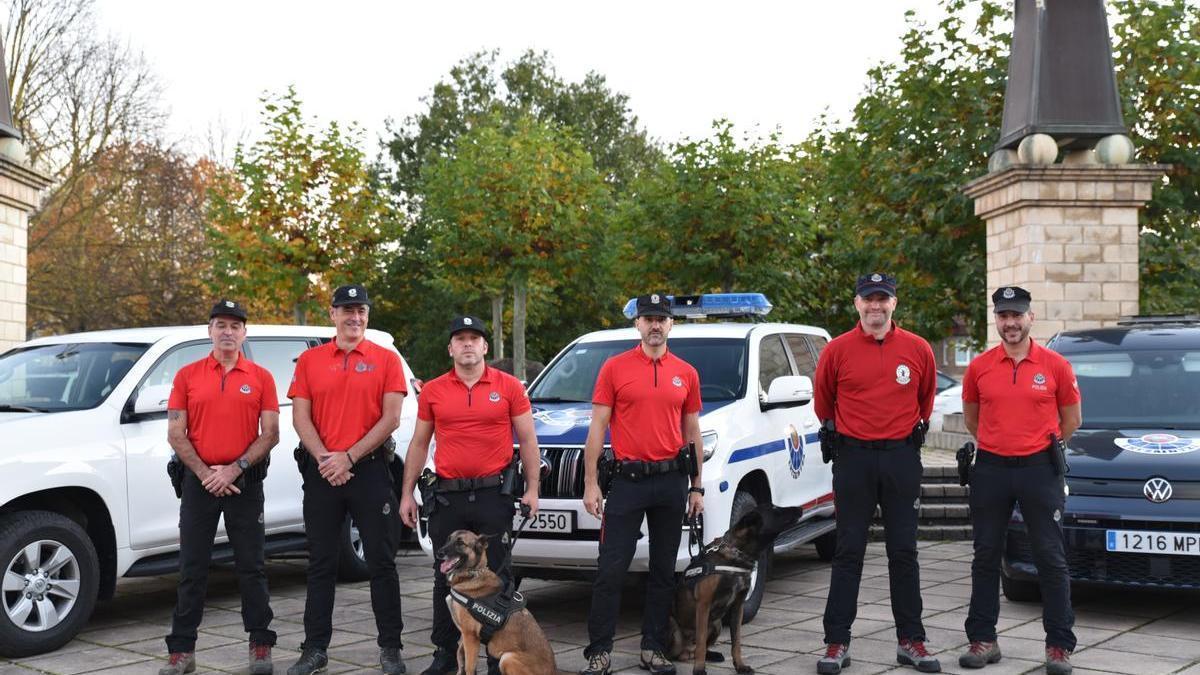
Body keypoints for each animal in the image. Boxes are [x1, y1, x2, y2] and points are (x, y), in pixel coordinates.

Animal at [439, 528, 568, 667]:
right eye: (448, 539)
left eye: (460, 543)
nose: (439, 552)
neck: (472, 574)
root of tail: (553, 669)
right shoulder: (464, 634)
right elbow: (460, 657)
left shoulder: (470, 636)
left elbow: (469, 667)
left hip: (507, 658)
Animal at [667, 502, 806, 667]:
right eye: (775, 510)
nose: (800, 508)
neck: (737, 553)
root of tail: (686, 651)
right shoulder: (703, 604)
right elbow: (701, 643)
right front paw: (699, 670)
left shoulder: (737, 607)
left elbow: (736, 642)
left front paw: (740, 666)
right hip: (676, 628)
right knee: (685, 650)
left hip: (717, 624)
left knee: (700, 648)